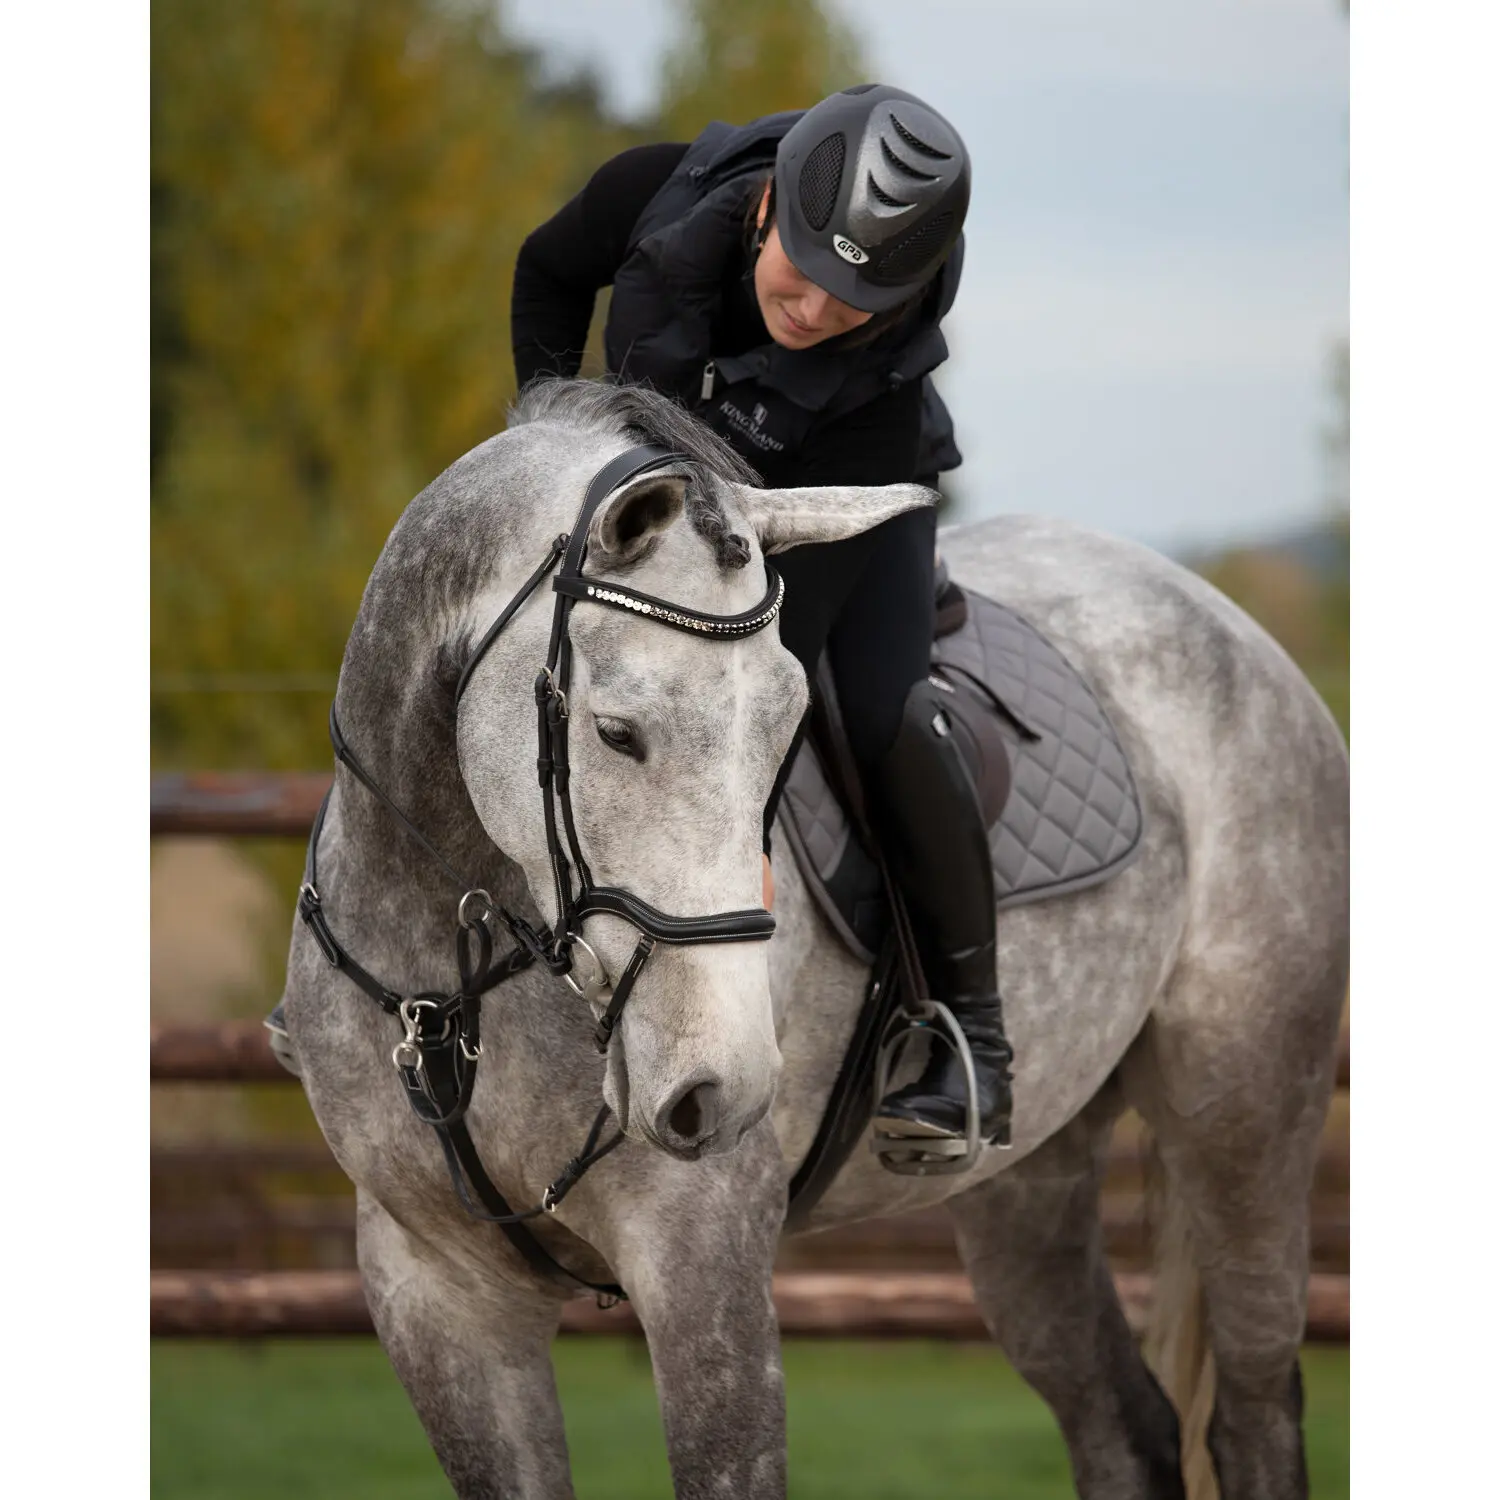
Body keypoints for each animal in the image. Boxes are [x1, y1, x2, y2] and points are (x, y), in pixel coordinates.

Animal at [280, 377, 1349, 1500]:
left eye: (786, 725)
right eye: (616, 732)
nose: (722, 1090)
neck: (453, 985)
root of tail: (1222, 618)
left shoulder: (703, 1270)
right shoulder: (436, 1292)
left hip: (1243, 1121)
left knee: (1253, 1411)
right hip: (1031, 1183)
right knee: (1122, 1423)